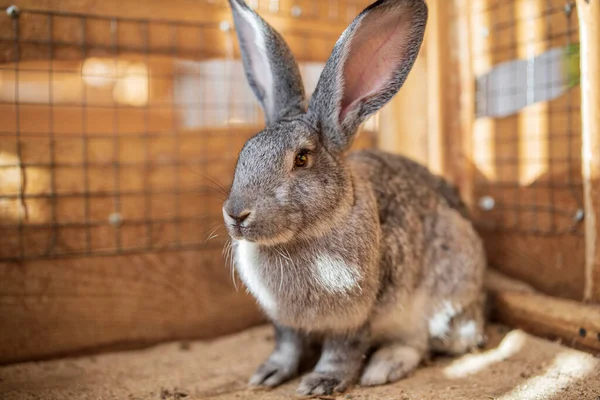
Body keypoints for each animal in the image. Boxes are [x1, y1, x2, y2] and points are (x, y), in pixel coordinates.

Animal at [223, 0, 486, 394]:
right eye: (244, 152)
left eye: (302, 158)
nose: (236, 214)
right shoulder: (285, 322)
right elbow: (287, 346)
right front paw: (268, 374)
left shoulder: (356, 317)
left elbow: (343, 351)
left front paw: (321, 382)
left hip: (444, 302)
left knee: (423, 343)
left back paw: (383, 368)